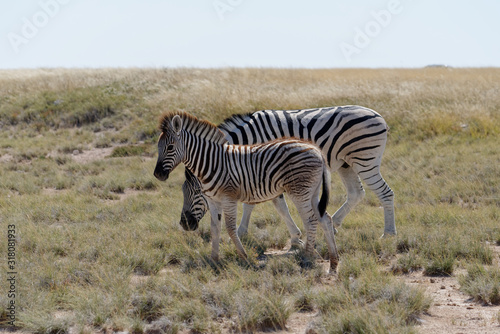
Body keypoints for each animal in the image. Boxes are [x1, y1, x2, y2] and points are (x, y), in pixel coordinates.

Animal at [152, 111, 340, 272]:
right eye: (159, 147)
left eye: (170, 147)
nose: (158, 174)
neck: (212, 163)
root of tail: (316, 150)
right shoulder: (213, 201)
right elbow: (215, 228)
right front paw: (214, 260)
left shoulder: (228, 198)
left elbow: (230, 228)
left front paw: (244, 257)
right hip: (312, 192)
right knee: (325, 219)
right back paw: (333, 261)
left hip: (299, 192)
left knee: (311, 220)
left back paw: (307, 257)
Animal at [182, 105, 396, 239]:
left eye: (198, 192)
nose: (185, 225)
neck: (247, 142)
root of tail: (379, 116)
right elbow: (261, 204)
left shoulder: (263, 169)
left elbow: (271, 205)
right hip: (347, 163)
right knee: (356, 193)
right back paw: (334, 224)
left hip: (365, 160)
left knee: (385, 193)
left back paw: (389, 233)